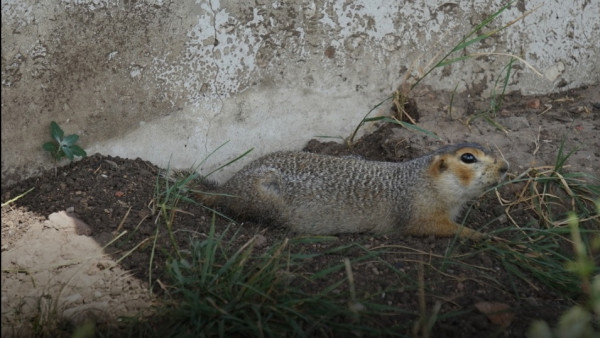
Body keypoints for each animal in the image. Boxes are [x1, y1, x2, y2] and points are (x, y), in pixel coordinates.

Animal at [199, 142, 508, 238]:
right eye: (468, 158)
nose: (505, 167)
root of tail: (229, 185)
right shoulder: (421, 209)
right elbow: (435, 227)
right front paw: (480, 235)